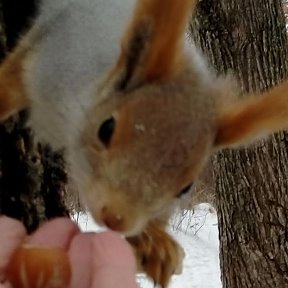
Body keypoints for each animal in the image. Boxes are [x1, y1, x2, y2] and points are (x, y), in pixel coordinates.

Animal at [0, 0, 288, 286]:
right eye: (106, 129)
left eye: (186, 187)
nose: (116, 218)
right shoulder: (48, 54)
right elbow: (11, 82)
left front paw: (156, 245)